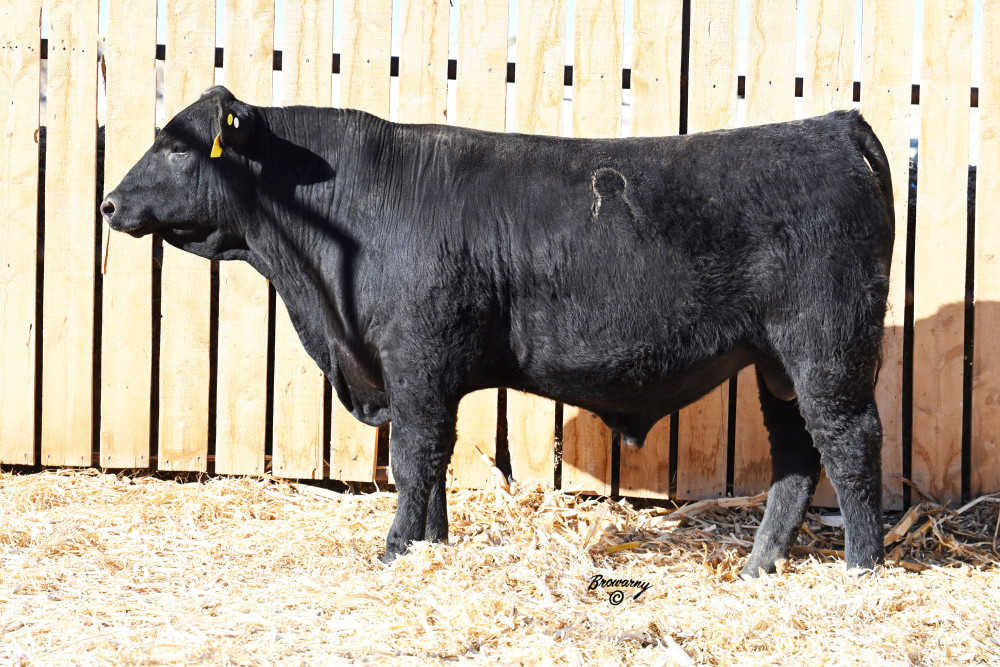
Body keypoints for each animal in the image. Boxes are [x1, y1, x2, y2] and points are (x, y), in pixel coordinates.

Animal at [102, 86, 894, 575]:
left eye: (178, 146)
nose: (108, 203)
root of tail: (830, 125)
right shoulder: (422, 371)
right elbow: (434, 461)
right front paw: (432, 545)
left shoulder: (418, 357)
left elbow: (417, 455)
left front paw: (395, 550)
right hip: (778, 364)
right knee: (797, 456)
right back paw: (760, 564)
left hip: (826, 349)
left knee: (850, 442)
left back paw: (862, 564)